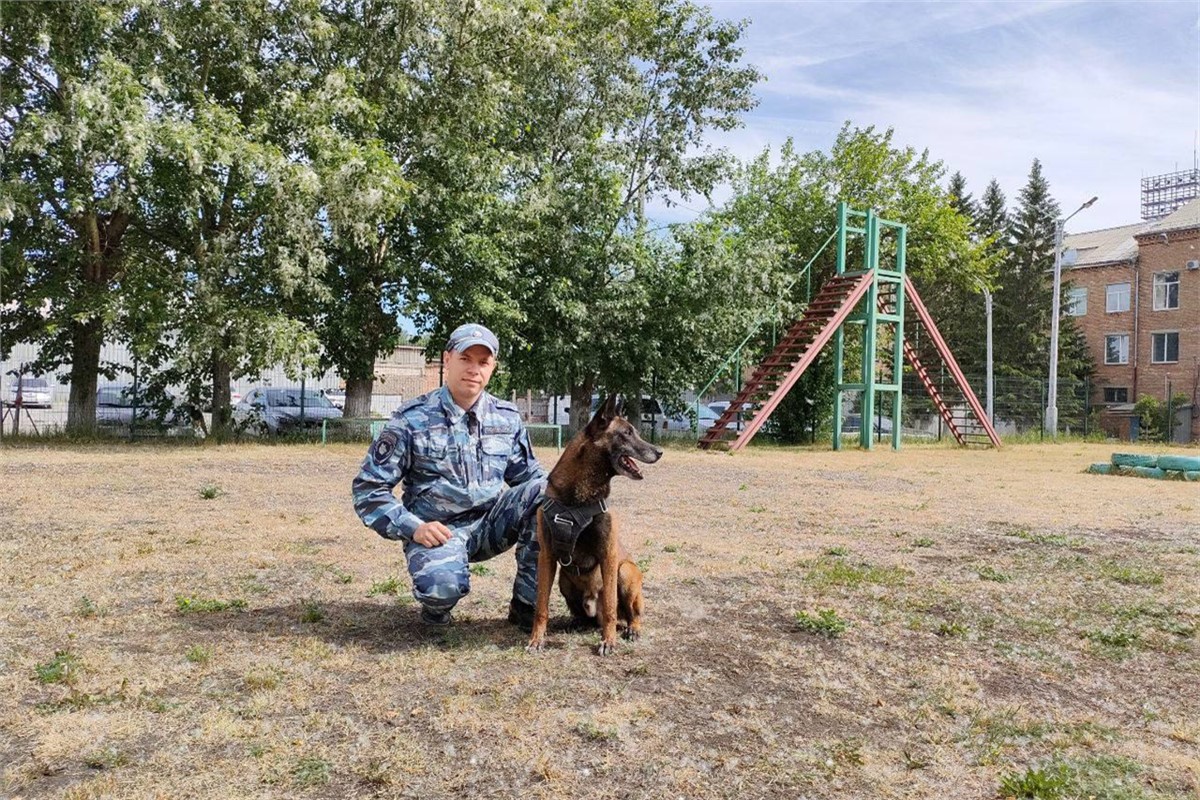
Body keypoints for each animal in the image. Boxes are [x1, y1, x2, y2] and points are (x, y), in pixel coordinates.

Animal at [528, 395, 662, 657]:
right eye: (627, 433)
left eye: (635, 432)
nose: (659, 452)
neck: (576, 500)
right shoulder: (546, 556)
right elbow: (541, 605)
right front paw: (536, 639)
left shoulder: (608, 556)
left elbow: (609, 604)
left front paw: (608, 642)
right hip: (564, 580)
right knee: (585, 616)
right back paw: (575, 623)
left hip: (626, 572)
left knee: (629, 615)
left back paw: (631, 629)